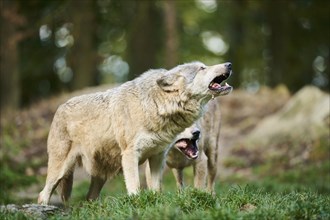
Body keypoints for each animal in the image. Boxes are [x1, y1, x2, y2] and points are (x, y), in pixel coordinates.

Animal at [38, 60, 232, 205]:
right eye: (202, 68)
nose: (229, 64)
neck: (156, 105)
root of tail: (60, 107)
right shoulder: (130, 155)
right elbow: (136, 188)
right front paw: (137, 205)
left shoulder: (157, 157)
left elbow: (155, 189)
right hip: (60, 170)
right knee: (43, 194)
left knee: (89, 198)